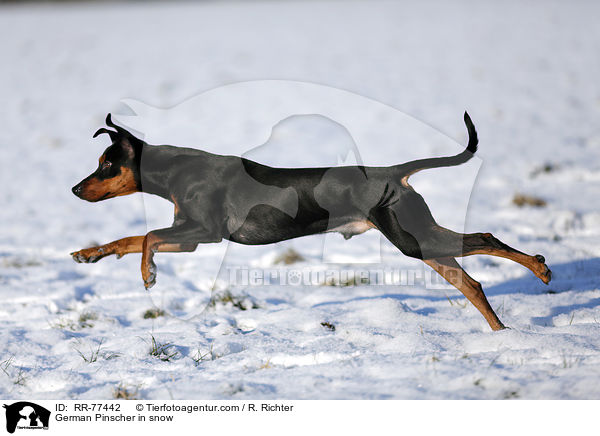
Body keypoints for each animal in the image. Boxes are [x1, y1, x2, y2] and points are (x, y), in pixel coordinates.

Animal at [72, 112, 552, 330]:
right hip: (418, 238)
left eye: (105, 164)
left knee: (485, 238)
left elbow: (147, 236)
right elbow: (130, 237)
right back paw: (501, 333)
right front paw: (89, 253)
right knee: (472, 282)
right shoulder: (190, 237)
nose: (75, 190)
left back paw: (540, 269)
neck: (177, 171)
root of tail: (393, 172)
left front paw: (148, 274)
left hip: (413, 239)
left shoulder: (203, 233)